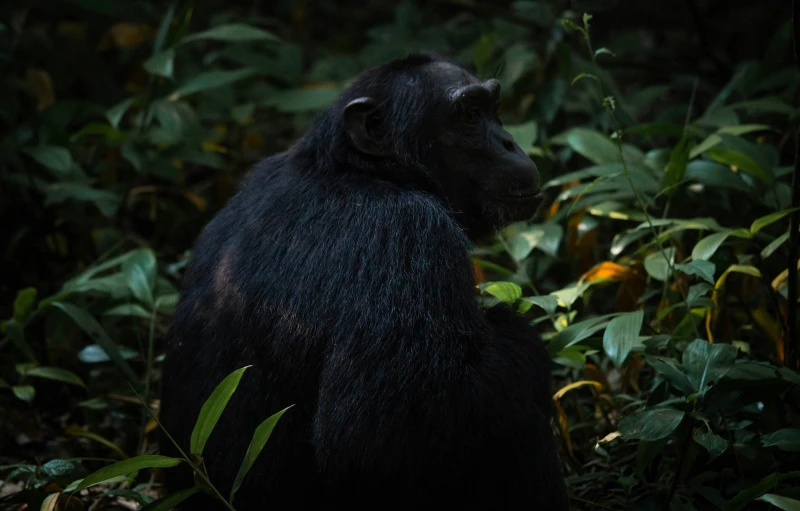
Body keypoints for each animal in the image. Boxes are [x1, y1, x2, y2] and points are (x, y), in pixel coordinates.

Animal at [158, 54, 568, 510]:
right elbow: (379, 437)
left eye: (493, 109)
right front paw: (519, 335)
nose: (508, 142)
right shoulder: (407, 236)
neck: (362, 171)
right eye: (470, 115)